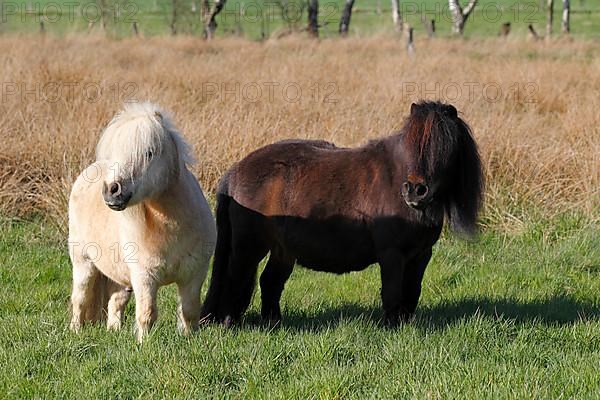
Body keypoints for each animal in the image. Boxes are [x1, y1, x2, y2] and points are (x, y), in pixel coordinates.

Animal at [68, 102, 216, 340]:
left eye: (149, 152)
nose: (111, 191)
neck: (172, 228)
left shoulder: (195, 274)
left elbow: (190, 310)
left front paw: (188, 337)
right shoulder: (144, 277)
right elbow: (147, 313)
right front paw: (144, 342)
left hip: (119, 277)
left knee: (115, 302)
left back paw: (114, 330)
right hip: (83, 263)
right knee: (79, 300)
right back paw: (76, 331)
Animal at [202, 101, 482, 326]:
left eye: (444, 147)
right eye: (411, 145)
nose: (415, 191)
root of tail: (235, 173)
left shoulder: (421, 254)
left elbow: (412, 292)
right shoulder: (391, 254)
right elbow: (392, 292)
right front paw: (392, 327)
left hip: (283, 249)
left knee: (270, 282)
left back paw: (273, 324)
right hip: (249, 246)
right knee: (235, 277)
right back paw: (228, 322)